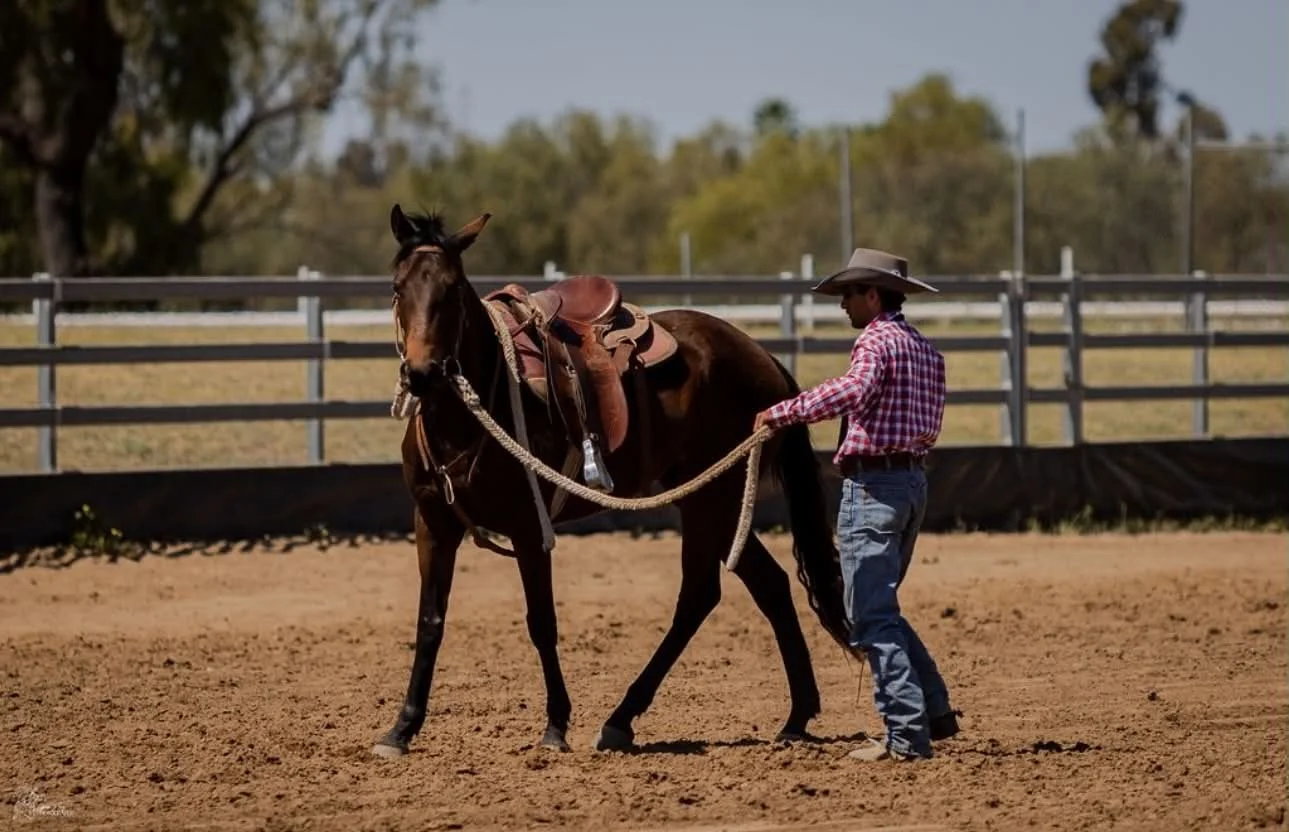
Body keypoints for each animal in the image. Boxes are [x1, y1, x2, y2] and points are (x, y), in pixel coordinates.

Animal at [372, 204, 860, 758]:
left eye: (452, 289)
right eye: (397, 288)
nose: (423, 372)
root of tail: (765, 360)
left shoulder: (529, 527)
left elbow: (541, 622)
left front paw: (555, 725)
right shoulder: (433, 523)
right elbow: (429, 622)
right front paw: (402, 727)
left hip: (712, 499)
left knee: (700, 595)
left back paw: (622, 719)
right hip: (714, 501)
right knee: (768, 585)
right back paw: (795, 717)